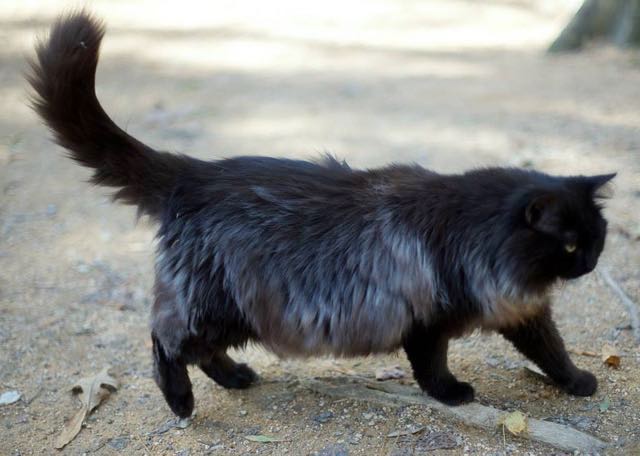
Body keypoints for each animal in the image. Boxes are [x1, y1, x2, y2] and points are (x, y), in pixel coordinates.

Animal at [30, 11, 616, 416]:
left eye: (596, 239)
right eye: (569, 243)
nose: (588, 264)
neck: (478, 235)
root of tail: (196, 173)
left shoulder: (523, 312)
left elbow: (552, 351)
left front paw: (577, 382)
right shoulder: (427, 320)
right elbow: (432, 365)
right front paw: (454, 395)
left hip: (234, 316)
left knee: (196, 349)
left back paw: (237, 378)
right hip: (216, 307)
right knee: (163, 341)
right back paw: (181, 402)